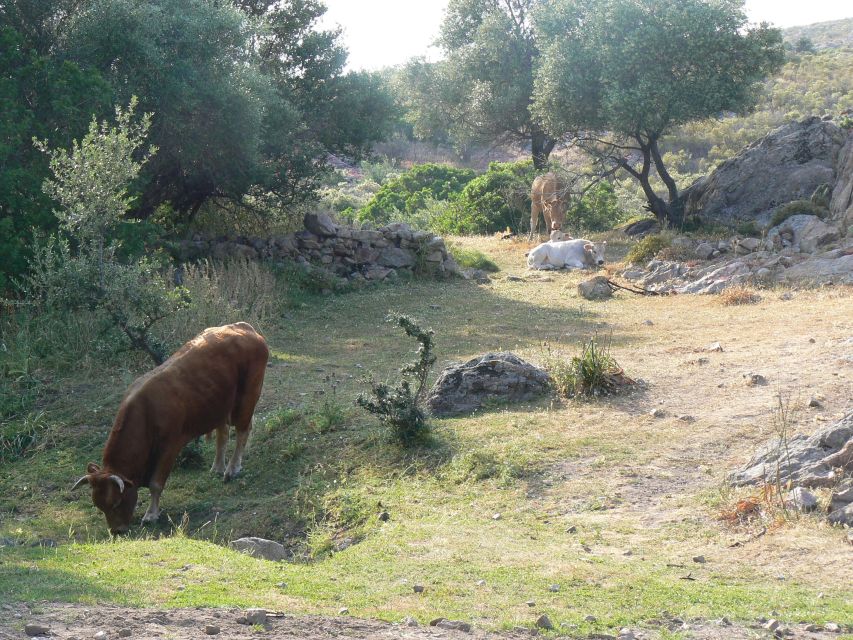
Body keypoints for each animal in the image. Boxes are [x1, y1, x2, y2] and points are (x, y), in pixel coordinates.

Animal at [75, 320, 272, 536]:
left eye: (117, 502)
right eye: (99, 506)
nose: (117, 530)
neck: (146, 411)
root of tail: (243, 327)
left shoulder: (170, 446)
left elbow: (156, 483)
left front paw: (151, 514)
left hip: (246, 399)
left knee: (243, 431)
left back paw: (232, 469)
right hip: (220, 405)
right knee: (223, 433)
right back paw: (218, 468)